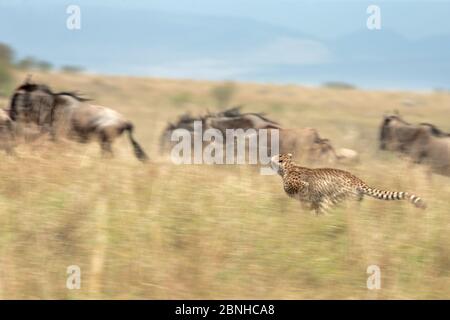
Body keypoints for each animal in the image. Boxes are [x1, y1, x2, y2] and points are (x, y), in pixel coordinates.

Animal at [270, 153, 426, 215]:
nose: (269, 159)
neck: (288, 167)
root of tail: (357, 179)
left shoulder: (305, 190)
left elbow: (305, 191)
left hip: (332, 198)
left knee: (326, 213)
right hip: (352, 202)